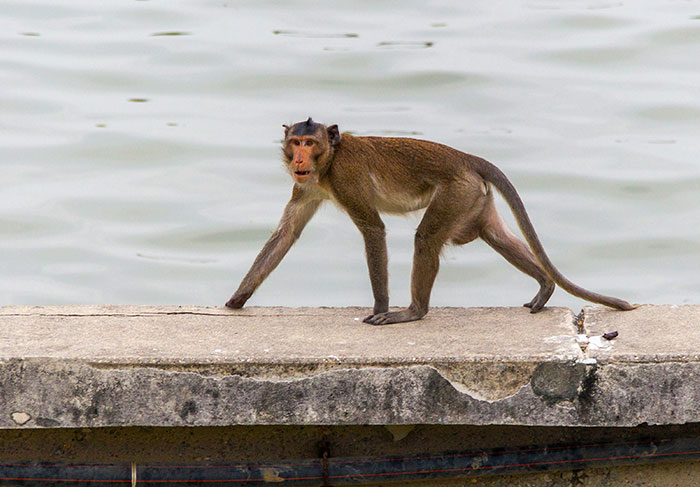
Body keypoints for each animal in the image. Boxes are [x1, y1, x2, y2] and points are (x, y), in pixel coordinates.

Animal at [226, 117, 636, 325]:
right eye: (295, 142)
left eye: (309, 144)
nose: (298, 159)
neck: (329, 161)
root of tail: (466, 158)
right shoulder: (308, 186)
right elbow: (286, 234)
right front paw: (237, 300)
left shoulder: (346, 179)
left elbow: (373, 229)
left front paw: (380, 307)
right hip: (474, 197)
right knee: (494, 234)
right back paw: (545, 284)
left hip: (456, 192)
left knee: (425, 239)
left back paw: (413, 312)